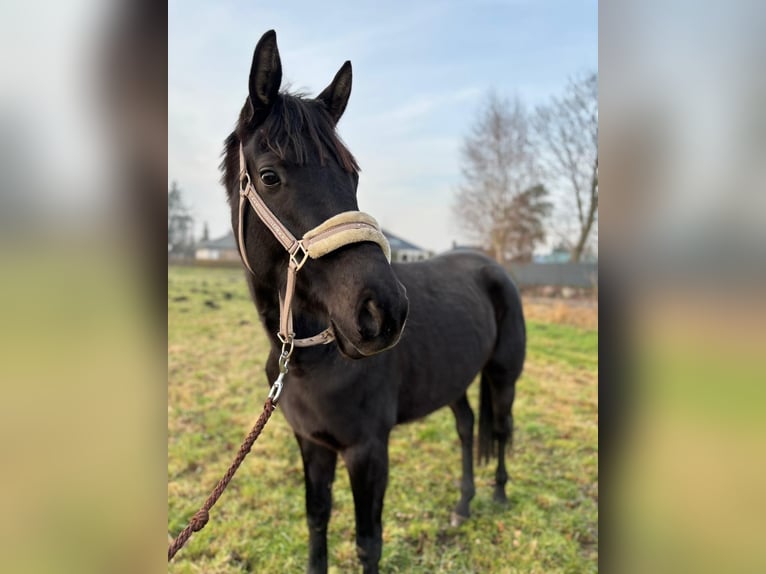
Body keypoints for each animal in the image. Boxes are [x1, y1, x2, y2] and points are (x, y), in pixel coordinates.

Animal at [219, 31, 524, 574]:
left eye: (353, 177)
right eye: (270, 176)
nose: (383, 311)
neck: (314, 363)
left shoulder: (367, 450)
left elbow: (368, 540)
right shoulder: (312, 444)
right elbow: (317, 522)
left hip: (503, 375)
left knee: (502, 428)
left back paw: (499, 496)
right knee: (468, 427)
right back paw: (463, 506)